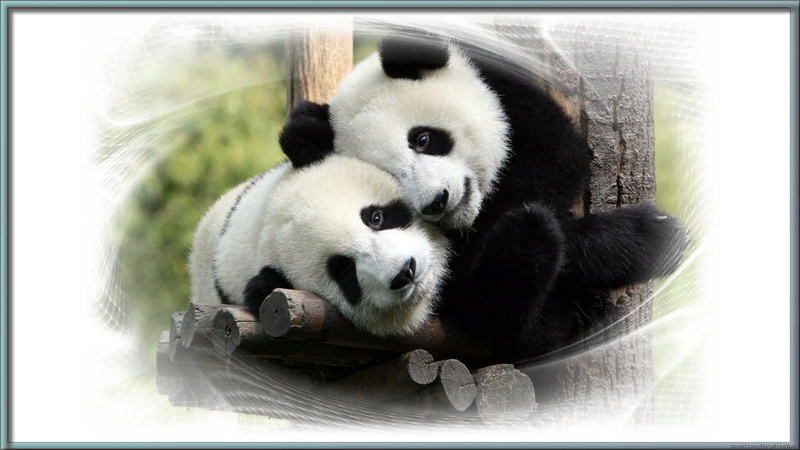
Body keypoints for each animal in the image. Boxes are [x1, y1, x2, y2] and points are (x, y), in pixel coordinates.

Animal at [279, 31, 687, 361]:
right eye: (391, 177)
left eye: (422, 139)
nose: (437, 201)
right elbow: (471, 284)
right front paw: (646, 236)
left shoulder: (516, 107)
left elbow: (556, 157)